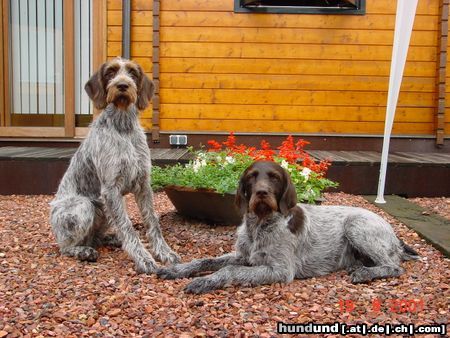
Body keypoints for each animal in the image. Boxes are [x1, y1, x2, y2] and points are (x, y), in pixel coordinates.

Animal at [50, 56, 180, 274]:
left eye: (132, 73)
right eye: (110, 72)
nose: (122, 85)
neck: (123, 127)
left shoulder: (143, 184)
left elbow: (152, 221)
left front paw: (164, 252)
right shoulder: (111, 189)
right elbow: (127, 226)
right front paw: (143, 258)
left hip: (102, 209)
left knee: (96, 237)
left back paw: (110, 239)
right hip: (85, 205)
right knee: (65, 247)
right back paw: (83, 251)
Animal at [158, 161, 418, 294]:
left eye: (274, 177)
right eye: (252, 176)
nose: (262, 192)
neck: (259, 225)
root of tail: (396, 237)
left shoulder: (279, 269)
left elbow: (228, 270)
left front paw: (205, 282)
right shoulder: (244, 256)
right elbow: (205, 261)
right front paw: (177, 270)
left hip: (356, 225)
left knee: (394, 266)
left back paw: (366, 273)